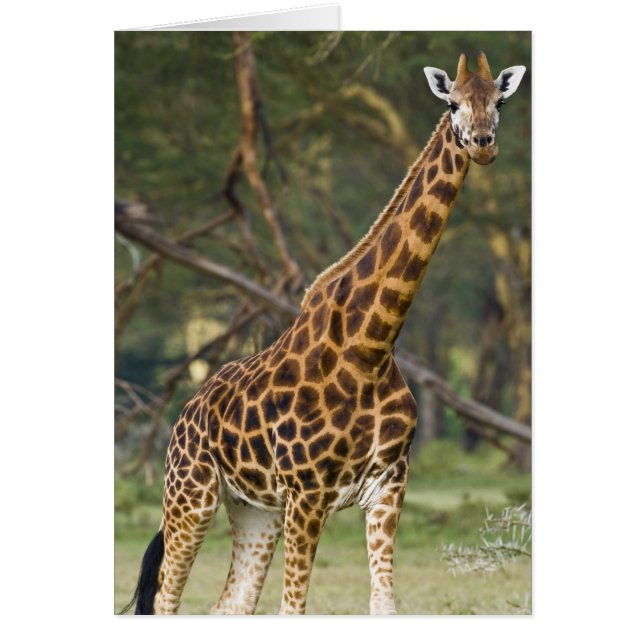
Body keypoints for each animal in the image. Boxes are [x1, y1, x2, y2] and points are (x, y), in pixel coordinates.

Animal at [121, 51, 526, 616]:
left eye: (500, 101)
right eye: (452, 102)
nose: (483, 143)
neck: (371, 346)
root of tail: (184, 413)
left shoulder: (388, 487)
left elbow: (382, 605)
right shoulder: (308, 495)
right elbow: (294, 608)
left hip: (253, 508)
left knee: (230, 605)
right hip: (191, 494)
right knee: (164, 600)